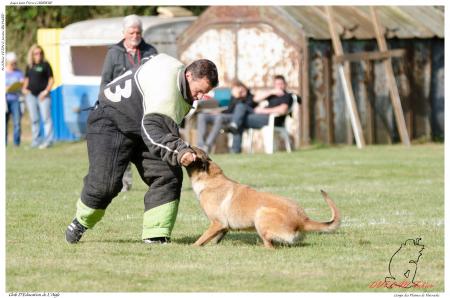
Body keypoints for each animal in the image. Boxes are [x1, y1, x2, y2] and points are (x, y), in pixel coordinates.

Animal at [185, 147, 340, 249]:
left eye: (192, 149)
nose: (186, 144)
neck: (210, 179)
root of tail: (302, 220)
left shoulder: (217, 223)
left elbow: (201, 239)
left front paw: (192, 247)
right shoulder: (223, 227)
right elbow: (214, 238)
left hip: (261, 214)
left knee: (269, 246)